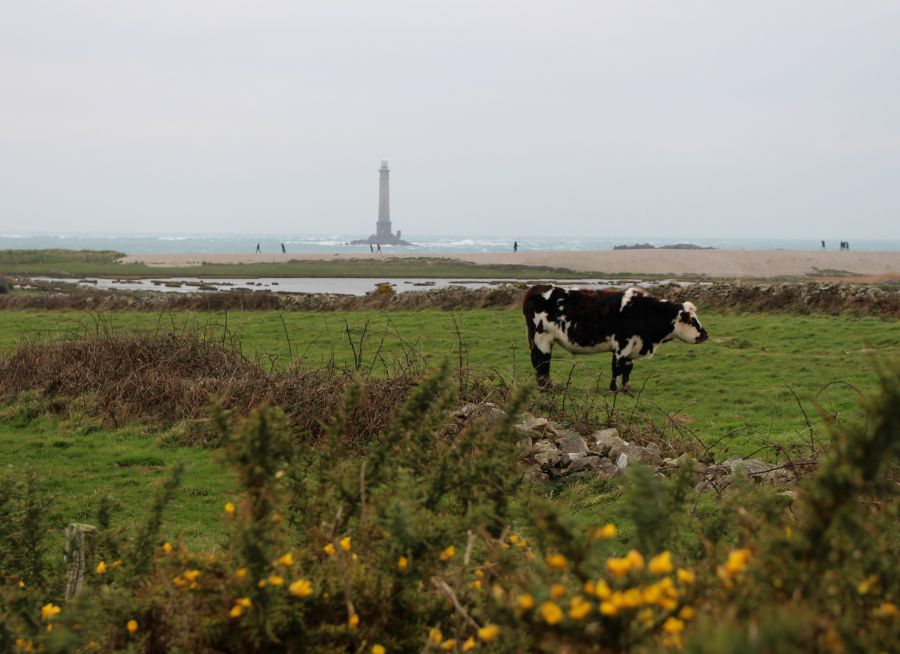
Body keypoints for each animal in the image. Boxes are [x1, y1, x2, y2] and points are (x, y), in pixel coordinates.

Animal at [524, 286, 708, 390]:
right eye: (692, 320)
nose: (705, 335)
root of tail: (536, 288)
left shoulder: (632, 346)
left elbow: (628, 368)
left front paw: (626, 389)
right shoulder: (622, 345)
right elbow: (617, 368)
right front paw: (614, 388)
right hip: (541, 338)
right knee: (542, 361)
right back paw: (546, 386)